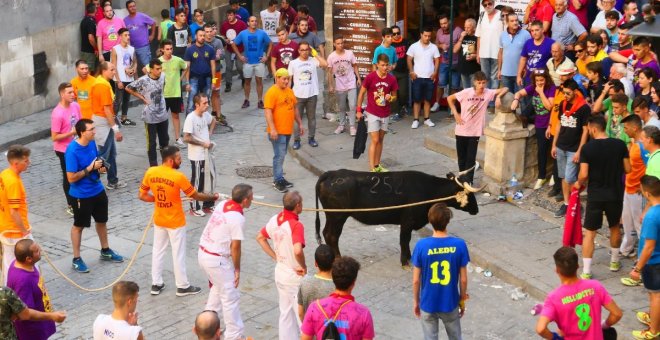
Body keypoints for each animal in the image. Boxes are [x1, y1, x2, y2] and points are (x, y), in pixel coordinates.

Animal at [314, 169, 480, 266]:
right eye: (468, 193)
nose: (476, 210)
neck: (429, 189)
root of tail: (332, 174)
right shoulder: (408, 221)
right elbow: (404, 240)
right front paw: (405, 261)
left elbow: (405, 240)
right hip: (337, 216)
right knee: (331, 235)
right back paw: (338, 259)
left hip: (333, 216)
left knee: (327, 233)